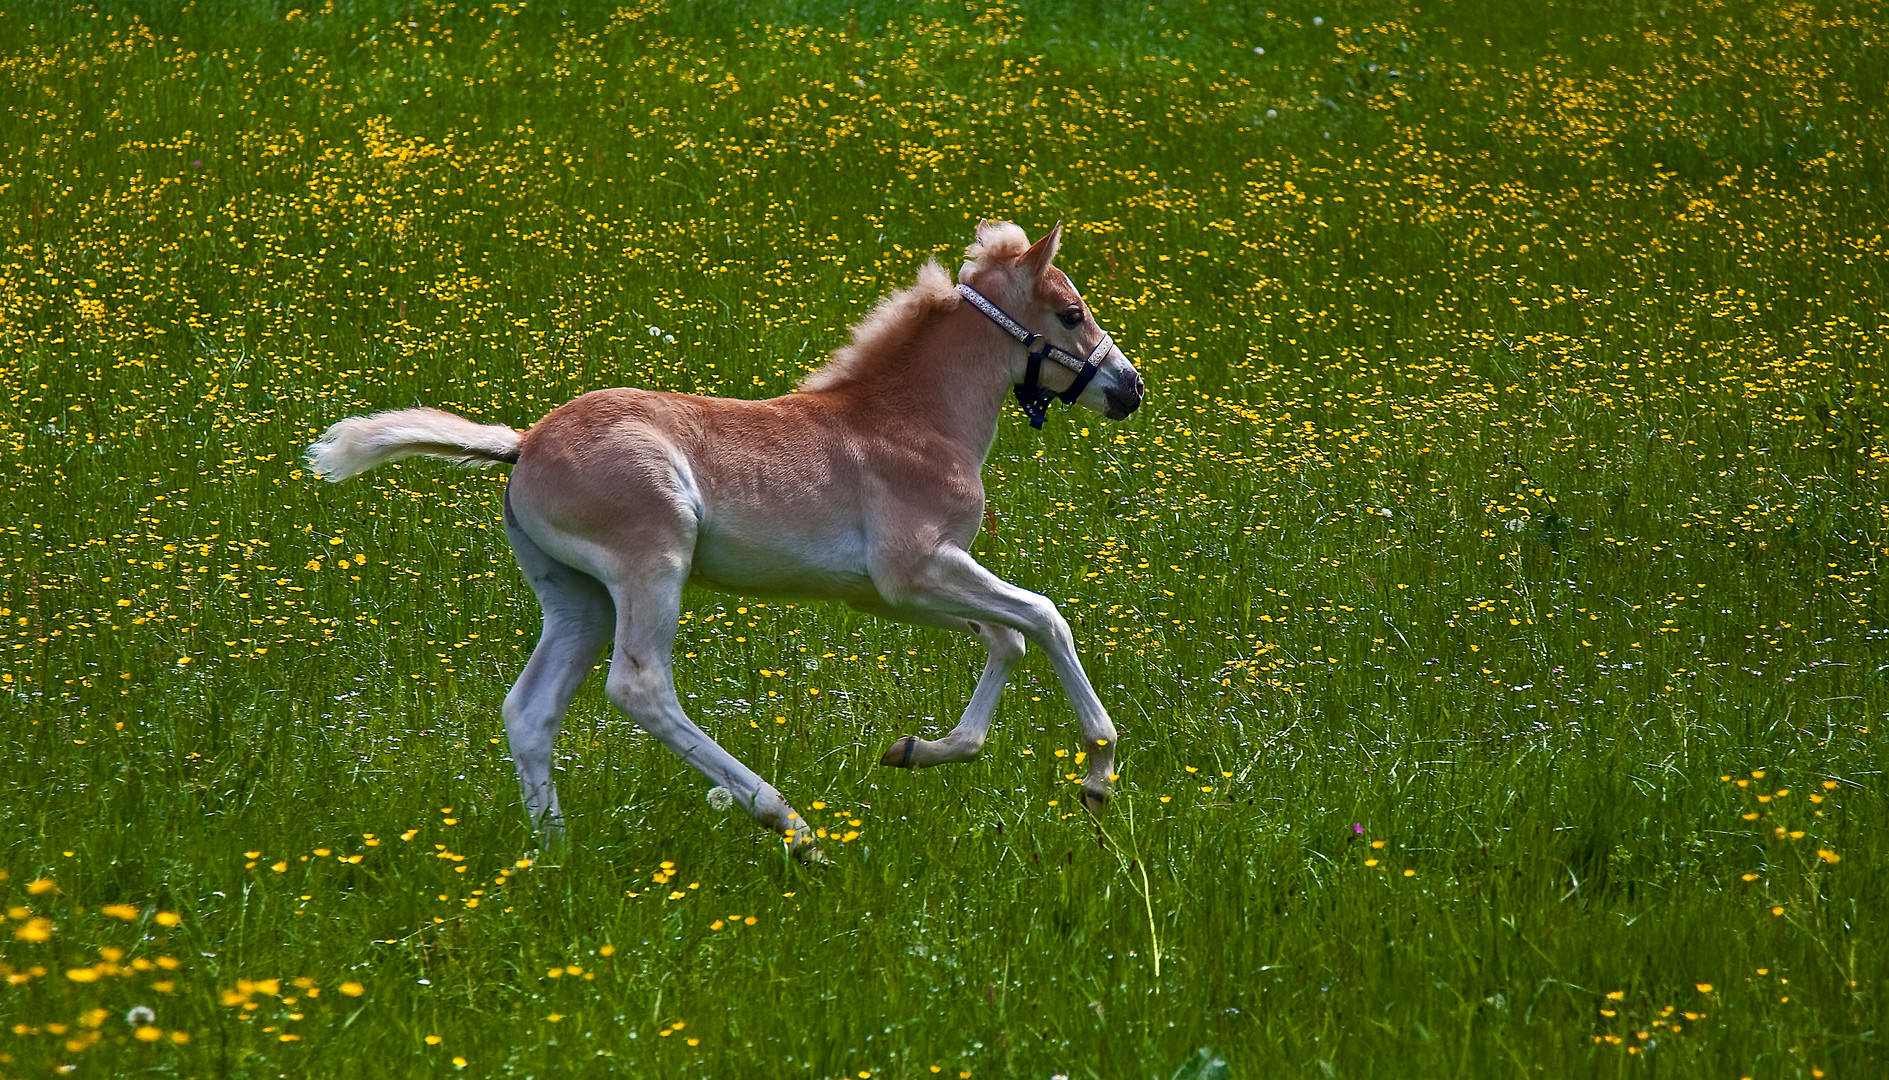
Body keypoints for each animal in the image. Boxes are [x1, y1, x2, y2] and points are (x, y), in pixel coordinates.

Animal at [304, 219, 1140, 860]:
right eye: (1071, 313)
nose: (1129, 388)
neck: (913, 420)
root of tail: (524, 443)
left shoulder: (895, 594)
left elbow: (1005, 638)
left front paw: (916, 751)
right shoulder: (916, 571)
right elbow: (1042, 617)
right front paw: (1096, 776)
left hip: (578, 597)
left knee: (530, 709)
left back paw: (555, 852)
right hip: (652, 565)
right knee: (638, 686)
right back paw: (789, 824)